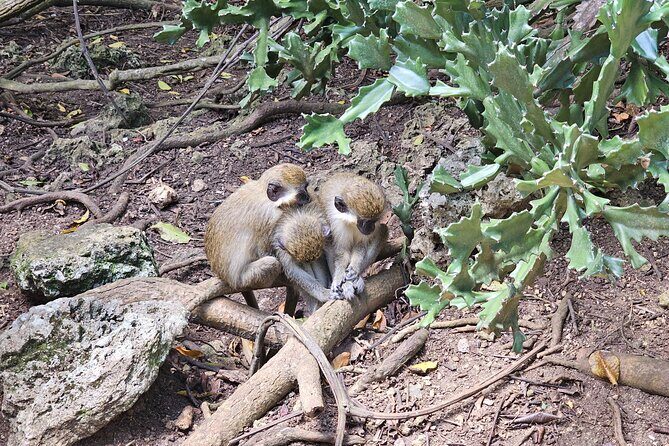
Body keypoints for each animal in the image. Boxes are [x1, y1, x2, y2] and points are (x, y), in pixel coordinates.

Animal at [204, 163, 310, 308]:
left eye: (306, 188)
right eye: (301, 194)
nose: (309, 197)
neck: (263, 195)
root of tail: (224, 277)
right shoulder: (268, 217)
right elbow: (263, 250)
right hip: (244, 280)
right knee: (271, 263)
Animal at [318, 173, 389, 301]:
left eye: (374, 220)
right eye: (366, 222)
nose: (371, 228)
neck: (350, 223)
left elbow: (360, 246)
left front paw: (354, 269)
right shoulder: (337, 224)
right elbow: (341, 252)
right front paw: (339, 278)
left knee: (383, 231)